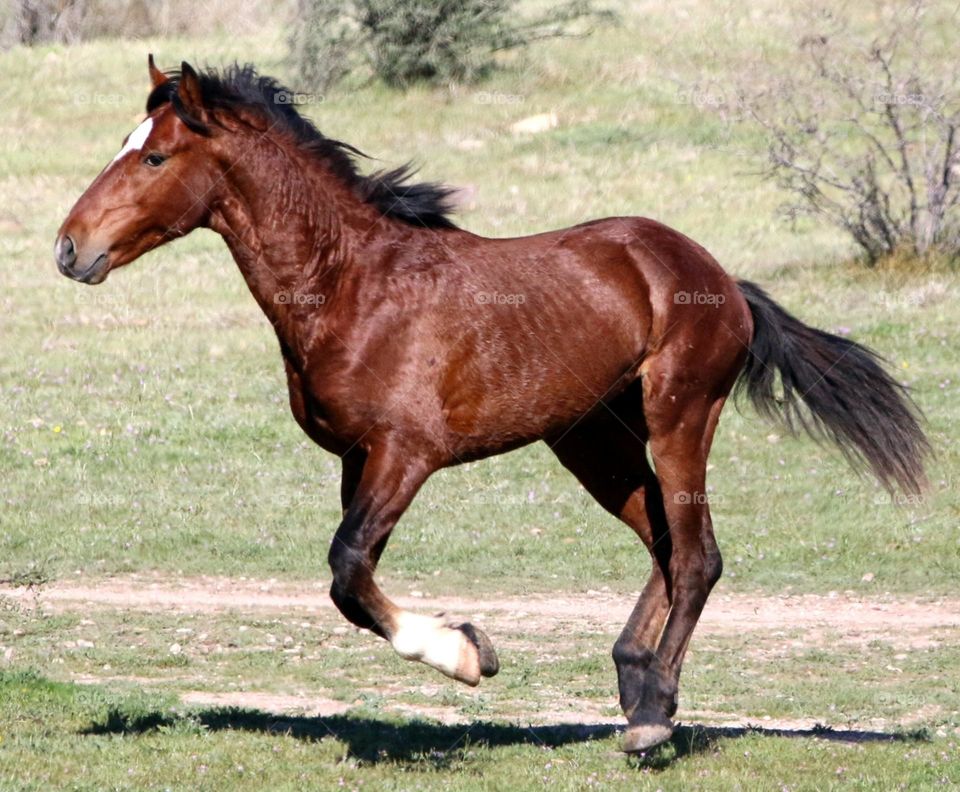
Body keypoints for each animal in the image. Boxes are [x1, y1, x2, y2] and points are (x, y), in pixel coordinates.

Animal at [55, 57, 928, 754]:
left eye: (156, 154)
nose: (69, 247)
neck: (350, 285)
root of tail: (722, 278)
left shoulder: (407, 454)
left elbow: (347, 566)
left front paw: (466, 652)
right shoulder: (356, 460)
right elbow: (353, 585)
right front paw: (475, 642)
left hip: (680, 413)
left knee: (696, 555)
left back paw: (654, 716)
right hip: (593, 443)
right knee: (662, 544)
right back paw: (635, 680)